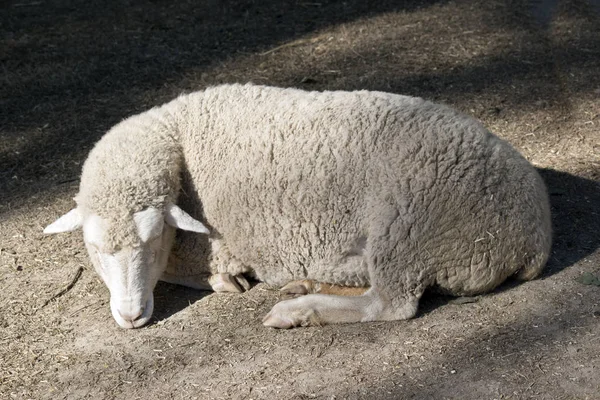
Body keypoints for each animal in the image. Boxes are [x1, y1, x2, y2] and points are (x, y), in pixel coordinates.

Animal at [43, 83, 552, 328]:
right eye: (93, 249)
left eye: (151, 242)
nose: (131, 317)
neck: (178, 137)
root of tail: (534, 238)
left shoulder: (212, 246)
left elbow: (181, 272)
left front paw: (222, 281)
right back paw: (304, 285)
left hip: (408, 231)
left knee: (390, 305)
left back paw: (298, 310)